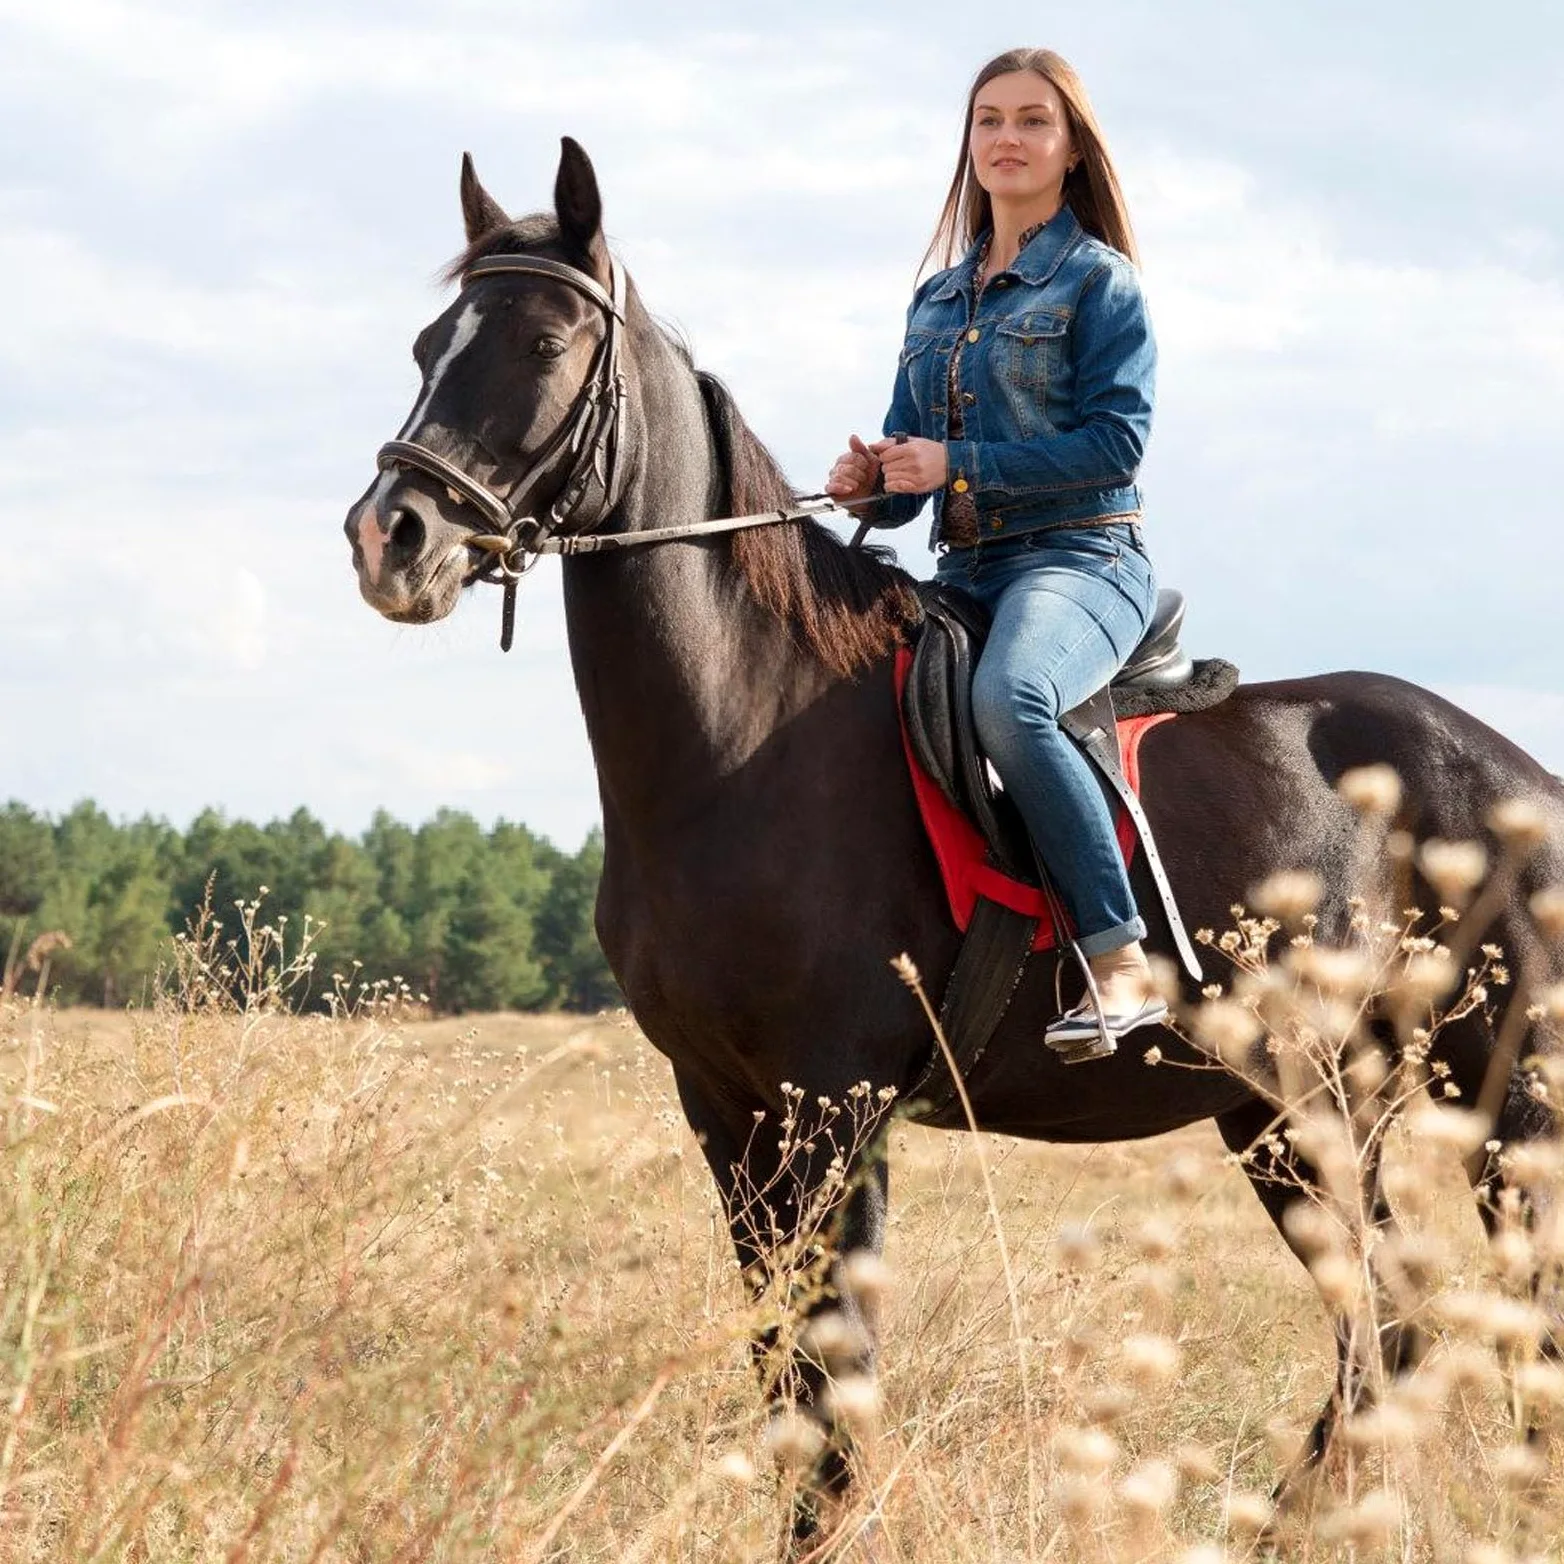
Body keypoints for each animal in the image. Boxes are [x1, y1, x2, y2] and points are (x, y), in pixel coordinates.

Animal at [342, 138, 1564, 1551]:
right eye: (426, 343)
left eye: (542, 342)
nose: (389, 537)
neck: (743, 730)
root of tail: (1515, 775)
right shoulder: (725, 1111)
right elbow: (780, 1365)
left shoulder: (838, 1109)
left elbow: (834, 1373)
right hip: (1291, 1112)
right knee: (1394, 1331)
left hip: (1491, 1103)